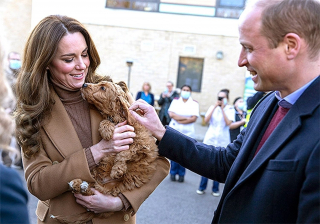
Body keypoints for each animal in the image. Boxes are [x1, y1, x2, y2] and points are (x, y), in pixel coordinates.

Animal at [53, 81, 159, 224]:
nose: (84, 84)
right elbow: (105, 122)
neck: (117, 118)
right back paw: (77, 184)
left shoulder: (142, 144)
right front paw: (107, 130)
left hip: (111, 191)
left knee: (96, 191)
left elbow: (125, 152)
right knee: (91, 187)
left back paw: (80, 185)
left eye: (103, 88)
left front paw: (117, 170)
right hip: (96, 175)